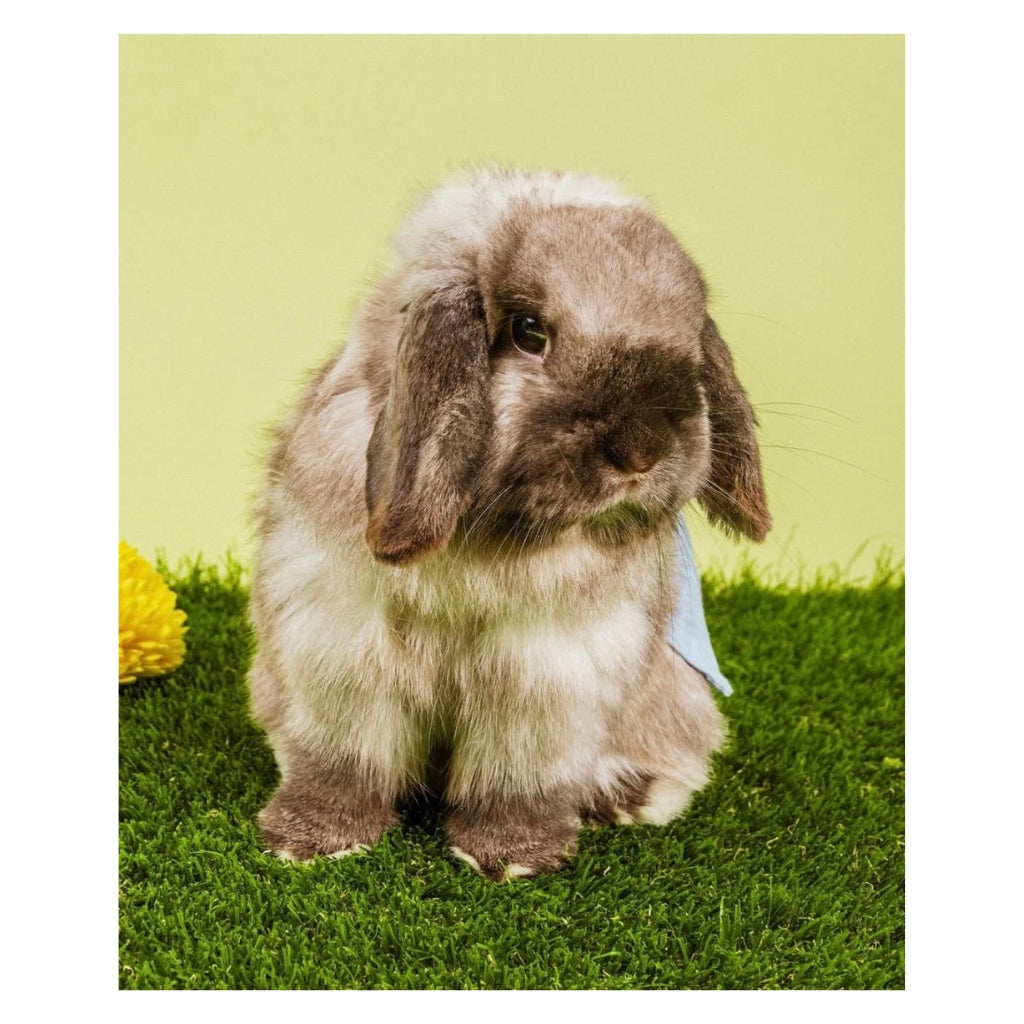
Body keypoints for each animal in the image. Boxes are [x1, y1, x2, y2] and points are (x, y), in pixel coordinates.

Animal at [247, 166, 770, 880]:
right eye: (528, 331)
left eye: (691, 338)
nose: (643, 452)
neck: (491, 530)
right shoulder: (340, 646)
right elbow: (343, 761)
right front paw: (311, 839)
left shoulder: (546, 671)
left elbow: (518, 777)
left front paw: (510, 857)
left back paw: (629, 797)